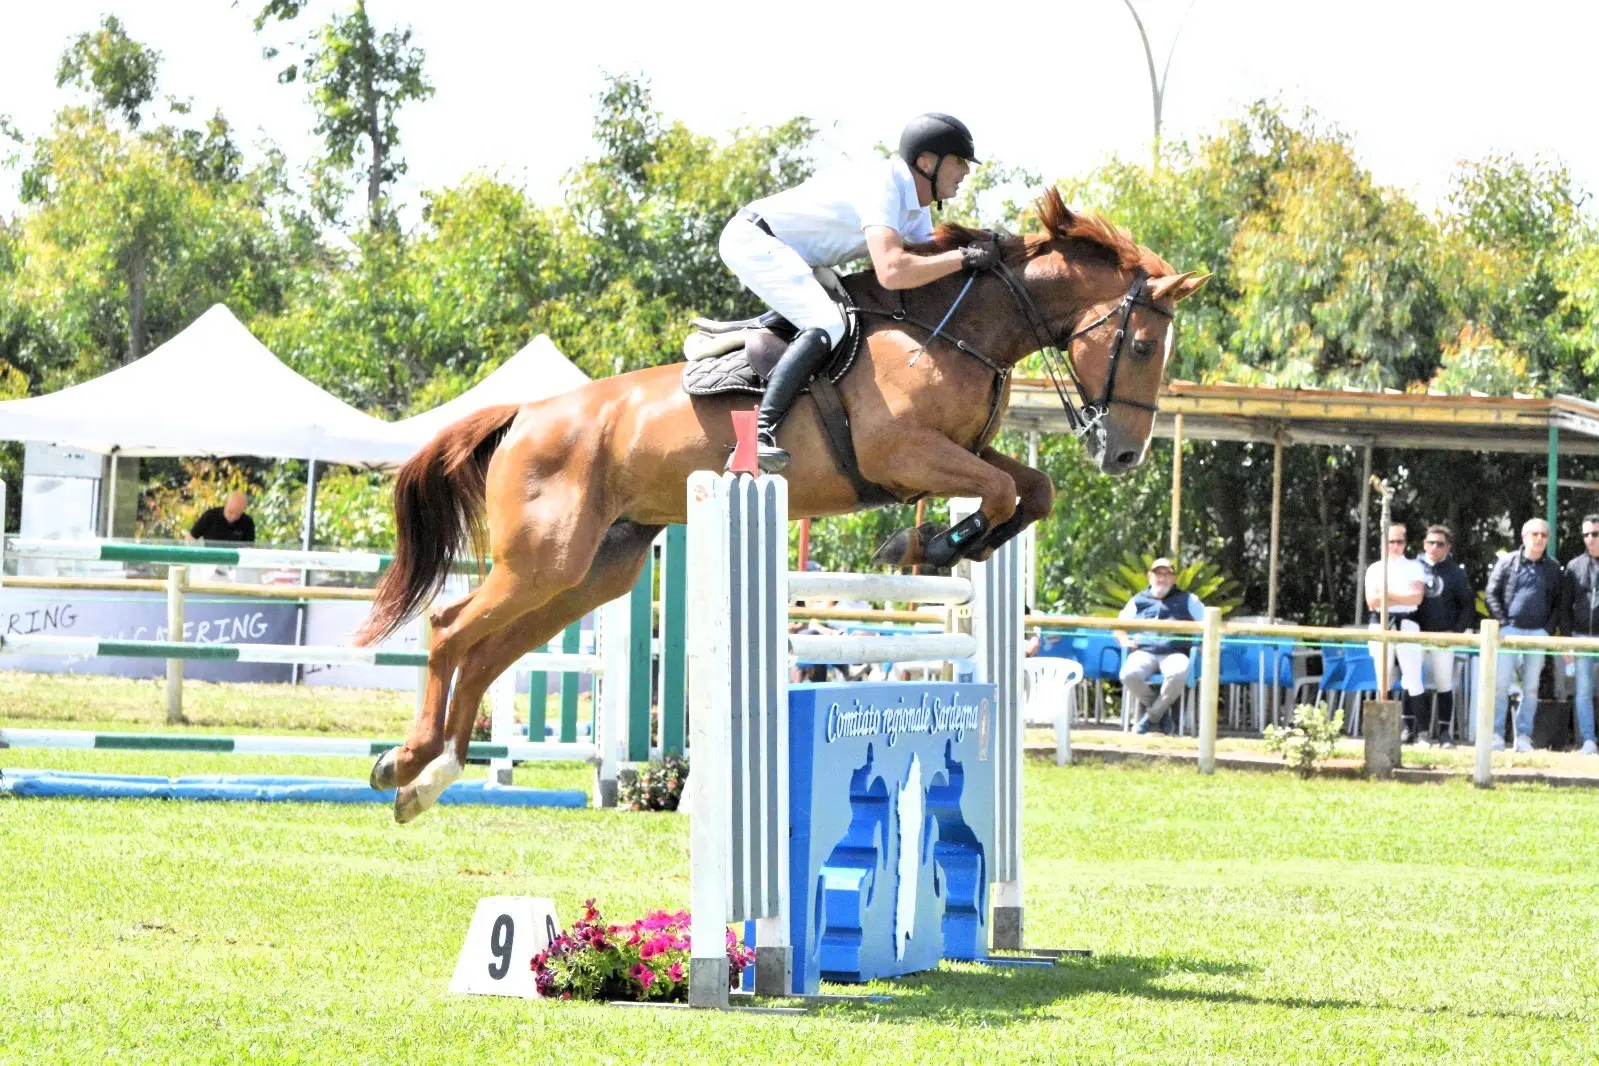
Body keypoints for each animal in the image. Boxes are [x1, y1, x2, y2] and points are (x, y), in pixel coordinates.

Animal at [359, 189, 1208, 824]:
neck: (953, 333)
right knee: (451, 628)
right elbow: (1001, 492)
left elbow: (1031, 490)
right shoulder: (903, 455)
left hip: (594, 570)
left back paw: (430, 775)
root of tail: (527, 415)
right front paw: (931, 546)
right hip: (544, 559)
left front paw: (941, 545)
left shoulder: (955, 451)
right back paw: (410, 760)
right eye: (1140, 346)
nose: (1123, 454)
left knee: (489, 651)